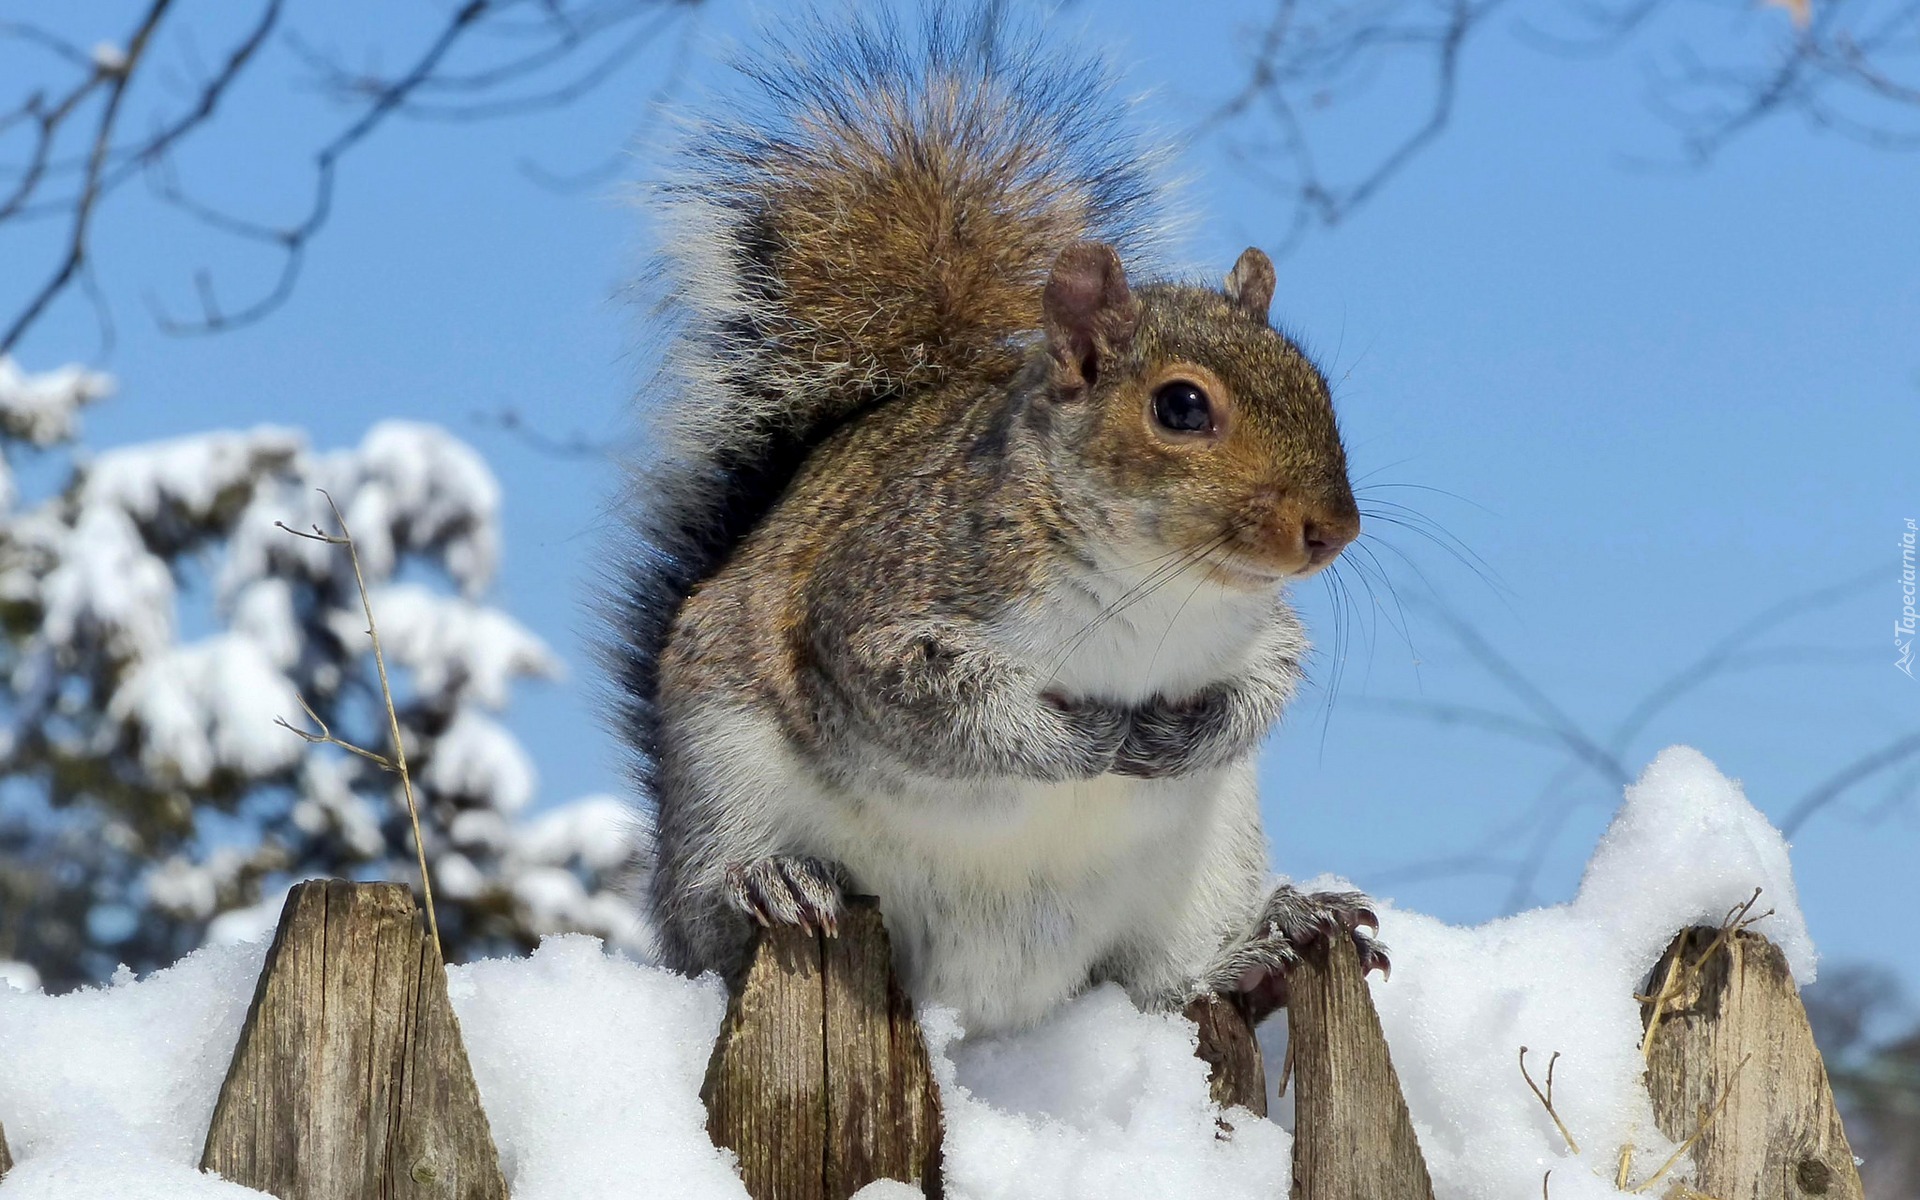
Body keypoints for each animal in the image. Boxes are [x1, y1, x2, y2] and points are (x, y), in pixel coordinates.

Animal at [606, 9, 1390, 1036]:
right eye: (1182, 407)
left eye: (1317, 384)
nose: (1332, 529)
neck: (1155, 581)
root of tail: (986, 1001)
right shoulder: (879, 608)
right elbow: (943, 706)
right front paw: (1081, 741)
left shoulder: (1258, 631)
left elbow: (1269, 681)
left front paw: (1185, 735)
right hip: (721, 778)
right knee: (715, 924)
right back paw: (770, 885)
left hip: (1206, 867)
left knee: (1167, 987)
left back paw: (1266, 949)